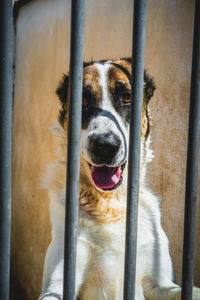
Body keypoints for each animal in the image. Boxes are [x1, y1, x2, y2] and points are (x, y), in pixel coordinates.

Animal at [38, 57, 200, 298]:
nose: (105, 145)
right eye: (83, 100)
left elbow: (183, 290)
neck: (111, 205)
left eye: (127, 98)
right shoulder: (57, 283)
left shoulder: (160, 283)